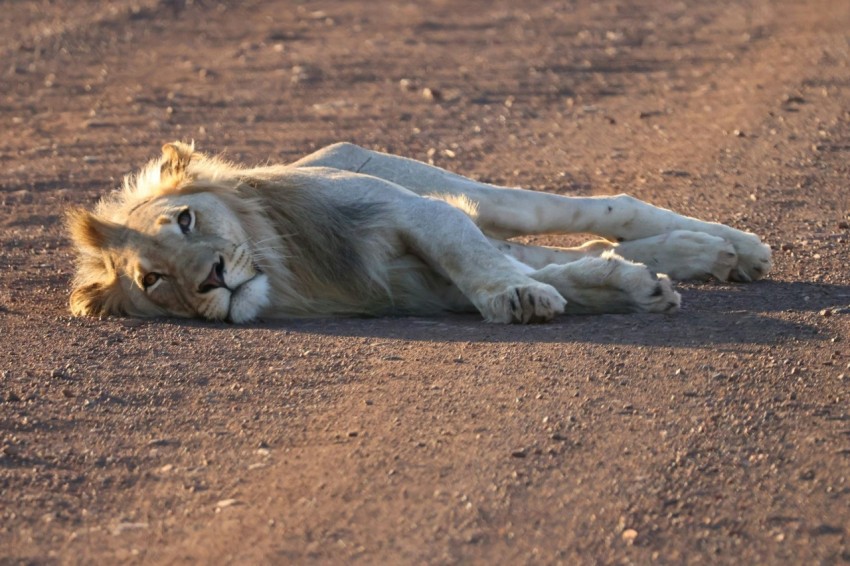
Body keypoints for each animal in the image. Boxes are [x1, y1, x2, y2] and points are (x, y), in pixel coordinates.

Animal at [67, 142, 771, 324]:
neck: (290, 269)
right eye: (153, 280)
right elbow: (562, 274)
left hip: (440, 184)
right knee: (558, 246)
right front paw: (636, 287)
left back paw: (739, 246)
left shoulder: (413, 212)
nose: (212, 278)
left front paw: (519, 299)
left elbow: (479, 259)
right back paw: (709, 255)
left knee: (588, 213)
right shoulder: (420, 289)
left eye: (186, 220)